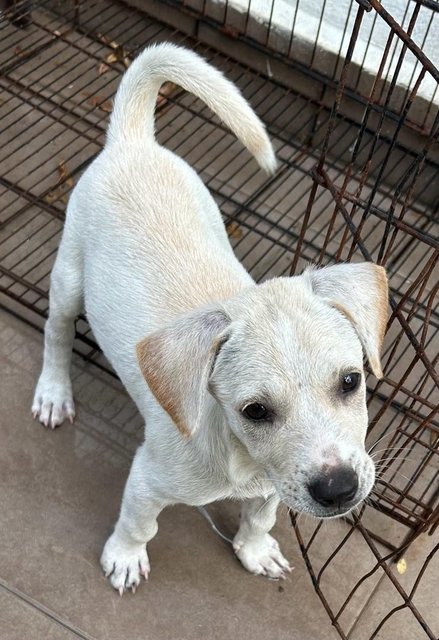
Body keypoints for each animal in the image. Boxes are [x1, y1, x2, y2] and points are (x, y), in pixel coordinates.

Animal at [31, 43, 388, 596]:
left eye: (351, 381)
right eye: (255, 411)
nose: (339, 490)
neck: (243, 460)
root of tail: (133, 142)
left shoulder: (276, 483)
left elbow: (261, 516)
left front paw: (256, 551)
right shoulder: (149, 477)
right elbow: (139, 522)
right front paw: (124, 558)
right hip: (69, 276)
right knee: (57, 332)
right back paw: (53, 392)